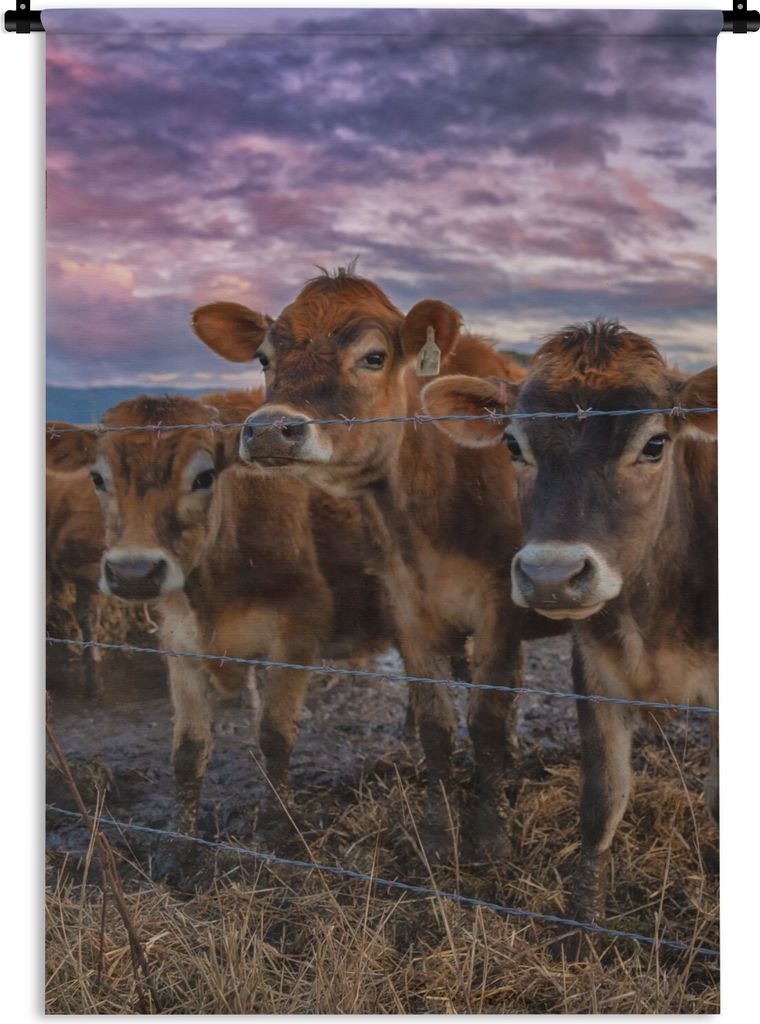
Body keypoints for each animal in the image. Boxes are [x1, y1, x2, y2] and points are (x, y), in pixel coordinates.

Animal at [46, 392, 394, 837]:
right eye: (97, 478)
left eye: (204, 477)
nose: (133, 572)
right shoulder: (179, 642)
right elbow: (188, 750)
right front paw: (181, 841)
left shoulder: (298, 633)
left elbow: (275, 734)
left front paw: (280, 824)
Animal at [190, 268, 567, 863]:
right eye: (264, 358)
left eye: (372, 357)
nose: (270, 430)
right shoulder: (405, 606)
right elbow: (437, 725)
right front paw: (437, 832)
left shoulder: (501, 607)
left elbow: (483, 721)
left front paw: (490, 837)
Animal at [421, 319, 718, 926]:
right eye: (513, 445)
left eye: (655, 444)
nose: (551, 576)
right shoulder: (596, 673)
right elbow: (602, 801)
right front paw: (582, 926)